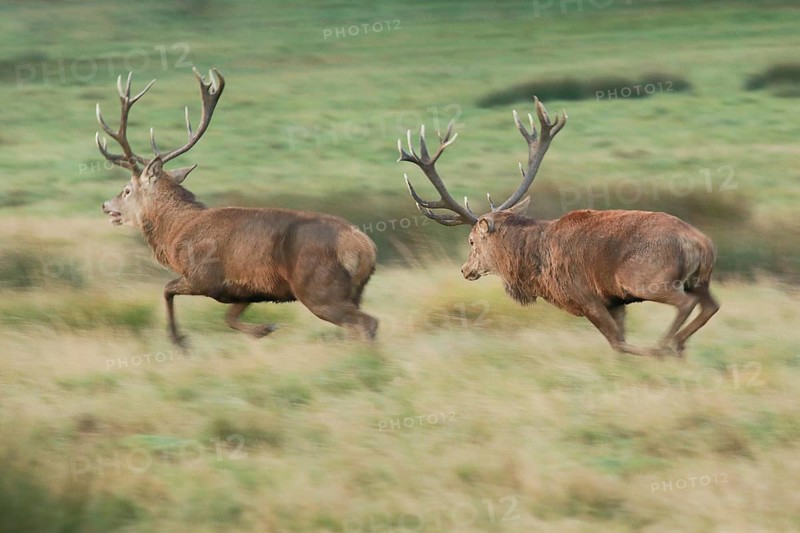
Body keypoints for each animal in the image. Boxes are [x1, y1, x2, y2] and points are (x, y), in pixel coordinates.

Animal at [97, 68, 378, 348]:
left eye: (127, 190)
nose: (105, 204)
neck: (176, 235)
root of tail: (365, 248)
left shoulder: (203, 277)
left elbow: (167, 290)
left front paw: (179, 339)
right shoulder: (246, 290)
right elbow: (229, 318)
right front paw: (263, 329)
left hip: (318, 287)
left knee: (366, 322)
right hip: (353, 292)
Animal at [398, 97, 719, 357]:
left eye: (472, 241)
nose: (465, 270)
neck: (535, 265)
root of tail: (700, 244)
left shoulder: (586, 295)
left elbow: (618, 343)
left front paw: (654, 352)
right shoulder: (616, 301)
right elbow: (619, 340)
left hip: (646, 278)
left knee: (685, 303)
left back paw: (667, 344)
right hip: (699, 279)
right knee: (710, 305)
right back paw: (678, 344)